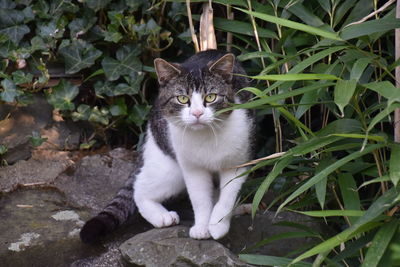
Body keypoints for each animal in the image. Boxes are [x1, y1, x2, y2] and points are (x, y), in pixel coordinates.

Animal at [80, 49, 255, 244]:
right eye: (182, 98)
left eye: (210, 97)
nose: (197, 113)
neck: (206, 136)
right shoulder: (191, 168)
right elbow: (200, 199)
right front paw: (202, 227)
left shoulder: (238, 163)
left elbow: (227, 197)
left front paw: (217, 225)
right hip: (169, 167)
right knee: (139, 188)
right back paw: (161, 216)